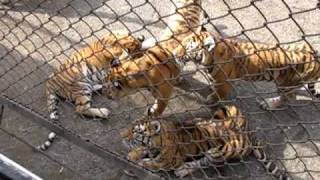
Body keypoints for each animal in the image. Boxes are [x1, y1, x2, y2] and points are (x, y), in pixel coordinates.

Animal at [121, 105, 292, 179]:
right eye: (130, 125)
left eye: (136, 131)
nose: (121, 135)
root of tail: (249, 133)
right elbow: (141, 150)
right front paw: (133, 154)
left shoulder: (168, 161)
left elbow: (153, 163)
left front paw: (140, 162)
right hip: (225, 110)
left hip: (220, 151)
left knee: (204, 162)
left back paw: (183, 170)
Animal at [171, 26, 318, 109]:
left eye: (187, 49)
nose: (173, 54)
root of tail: (316, 57)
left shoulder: (224, 84)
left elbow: (218, 94)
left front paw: (211, 100)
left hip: (287, 83)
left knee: (289, 97)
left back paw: (268, 104)